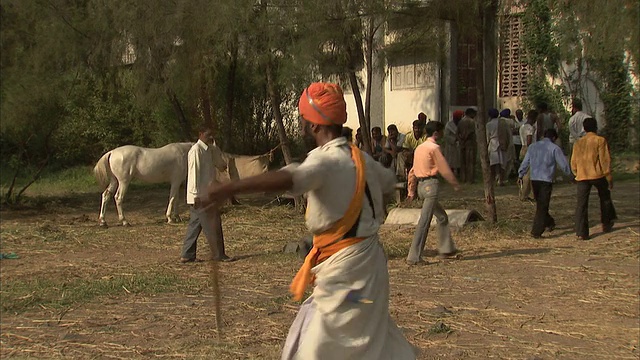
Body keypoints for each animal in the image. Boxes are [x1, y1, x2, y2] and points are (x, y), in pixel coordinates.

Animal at [93, 142, 228, 226]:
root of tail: (112, 152)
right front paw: (169, 218)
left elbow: (176, 199)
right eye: (218, 152)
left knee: (106, 195)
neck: (184, 154)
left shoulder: (177, 182)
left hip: (114, 181)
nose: (224, 166)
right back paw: (124, 221)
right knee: (118, 198)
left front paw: (177, 217)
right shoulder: (175, 181)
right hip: (123, 182)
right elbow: (172, 198)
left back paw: (103, 221)